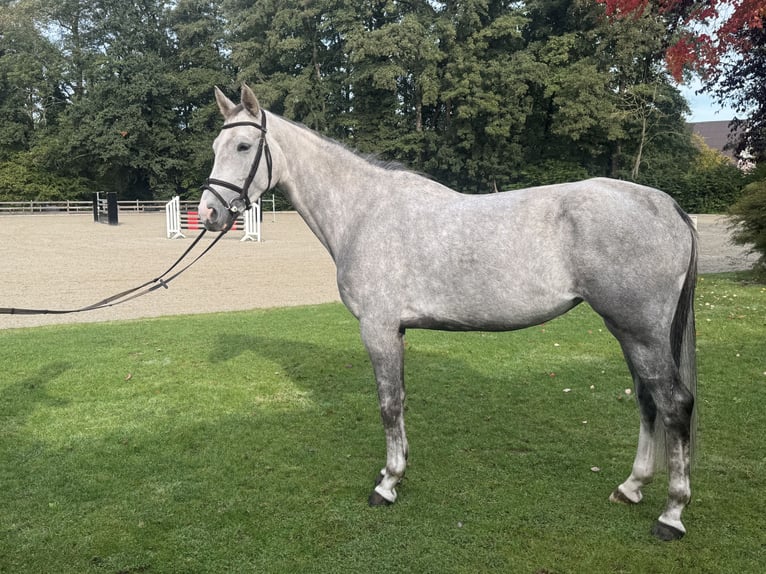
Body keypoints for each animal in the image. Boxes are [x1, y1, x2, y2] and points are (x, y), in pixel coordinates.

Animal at [198, 85, 698, 541]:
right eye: (216, 147)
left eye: (243, 147)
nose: (209, 213)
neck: (364, 211)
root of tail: (668, 205)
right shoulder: (396, 331)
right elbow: (400, 400)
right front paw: (395, 473)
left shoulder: (378, 329)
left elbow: (388, 404)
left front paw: (387, 485)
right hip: (627, 332)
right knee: (647, 401)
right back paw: (631, 487)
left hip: (641, 333)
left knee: (674, 404)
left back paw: (671, 514)